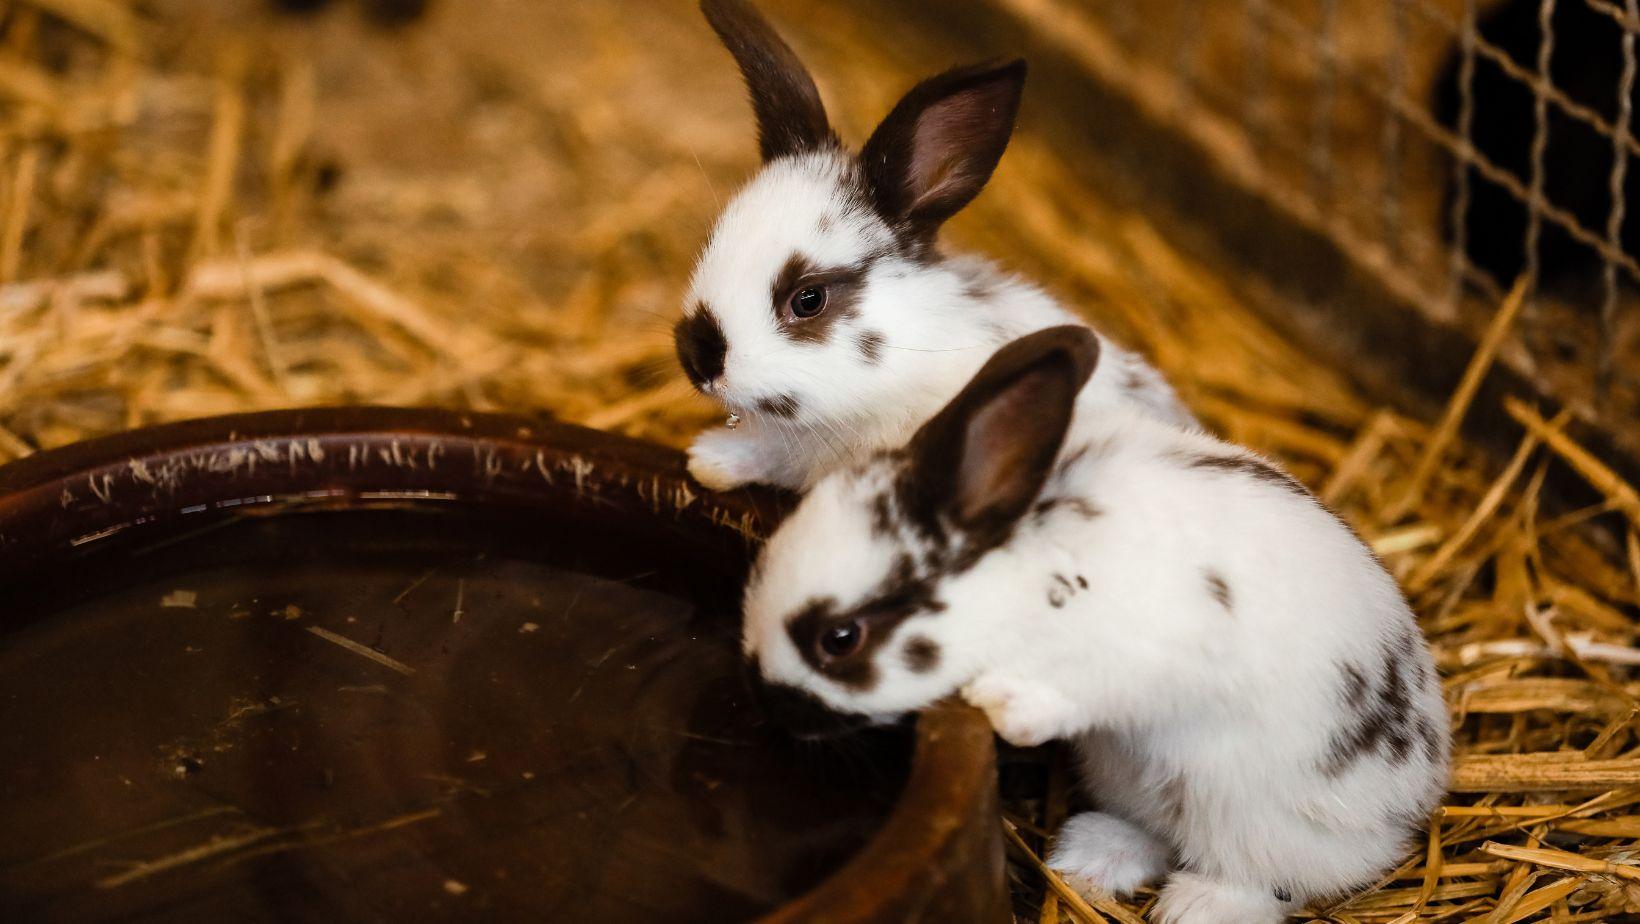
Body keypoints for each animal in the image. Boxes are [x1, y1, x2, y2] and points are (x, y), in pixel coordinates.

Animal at [741, 326, 1449, 923]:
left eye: (839, 640)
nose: (770, 707)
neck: (1019, 573)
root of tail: (1418, 794)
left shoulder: (1151, 647)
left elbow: (1090, 687)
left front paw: (1006, 707)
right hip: (1130, 777)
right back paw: (1089, 855)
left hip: (1250, 812)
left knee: (1266, 877)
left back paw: (1194, 908)